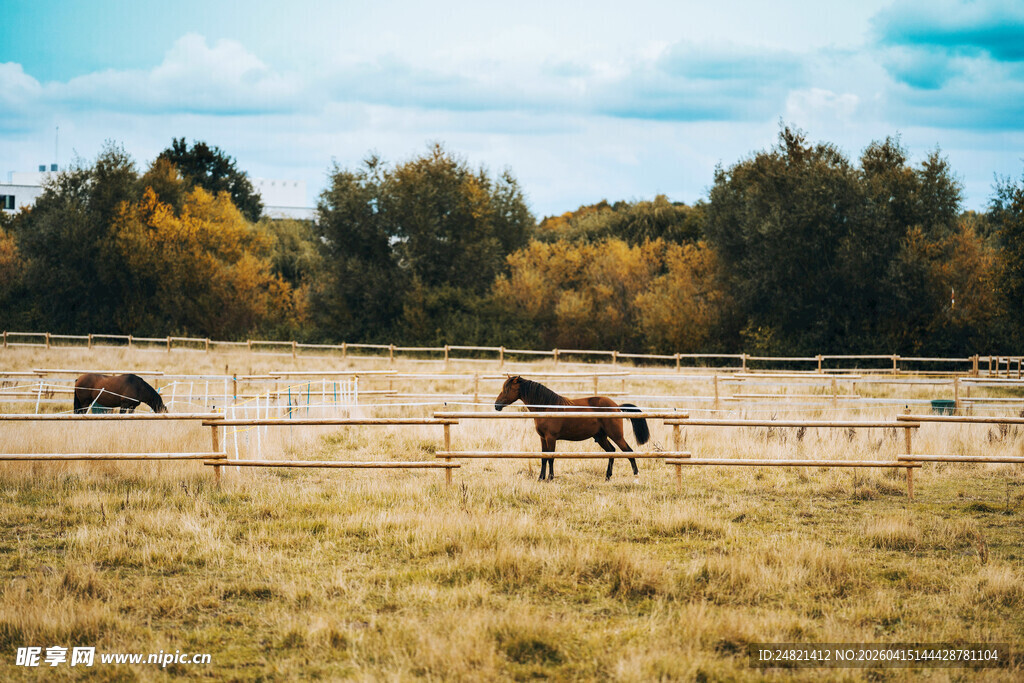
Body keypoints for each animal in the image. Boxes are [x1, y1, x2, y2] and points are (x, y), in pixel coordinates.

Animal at [494, 375, 650, 481]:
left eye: (507, 389)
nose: (496, 405)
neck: (547, 407)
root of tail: (616, 406)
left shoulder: (551, 438)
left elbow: (551, 458)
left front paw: (550, 478)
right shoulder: (543, 438)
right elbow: (544, 458)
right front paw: (540, 478)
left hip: (616, 435)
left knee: (628, 451)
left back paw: (636, 476)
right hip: (601, 437)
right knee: (612, 452)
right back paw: (607, 477)